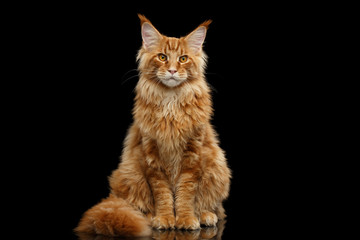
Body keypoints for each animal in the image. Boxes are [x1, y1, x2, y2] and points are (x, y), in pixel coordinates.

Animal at [75, 14, 232, 237]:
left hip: (218, 167)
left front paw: (185, 219)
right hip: (130, 173)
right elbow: (163, 195)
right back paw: (149, 217)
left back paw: (205, 215)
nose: (173, 70)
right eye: (162, 57)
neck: (171, 102)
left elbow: (186, 194)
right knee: (138, 204)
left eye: (183, 59)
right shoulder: (151, 155)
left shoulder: (193, 154)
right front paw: (165, 219)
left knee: (216, 208)